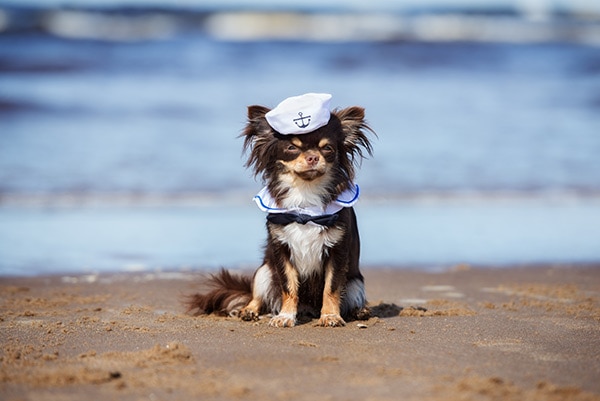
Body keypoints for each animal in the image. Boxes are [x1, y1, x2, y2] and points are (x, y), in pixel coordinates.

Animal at [188, 94, 376, 328]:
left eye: (328, 149)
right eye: (292, 148)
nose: (313, 157)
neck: (305, 197)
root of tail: (308, 309)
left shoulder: (337, 251)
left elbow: (331, 288)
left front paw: (331, 316)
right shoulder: (282, 251)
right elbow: (289, 286)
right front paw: (285, 316)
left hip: (355, 282)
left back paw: (360, 311)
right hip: (264, 272)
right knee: (257, 296)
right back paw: (248, 311)